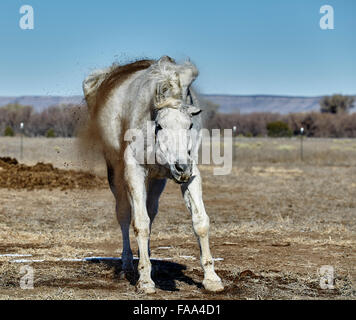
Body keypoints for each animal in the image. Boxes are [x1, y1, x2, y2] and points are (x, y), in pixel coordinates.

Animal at [83, 56, 222, 294]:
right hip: (117, 177)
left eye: (190, 125)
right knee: (124, 214)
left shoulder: (192, 174)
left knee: (151, 212)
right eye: (160, 126)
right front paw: (145, 281)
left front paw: (211, 278)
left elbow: (200, 221)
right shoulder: (134, 171)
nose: (181, 168)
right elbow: (139, 223)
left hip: (157, 182)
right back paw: (129, 263)